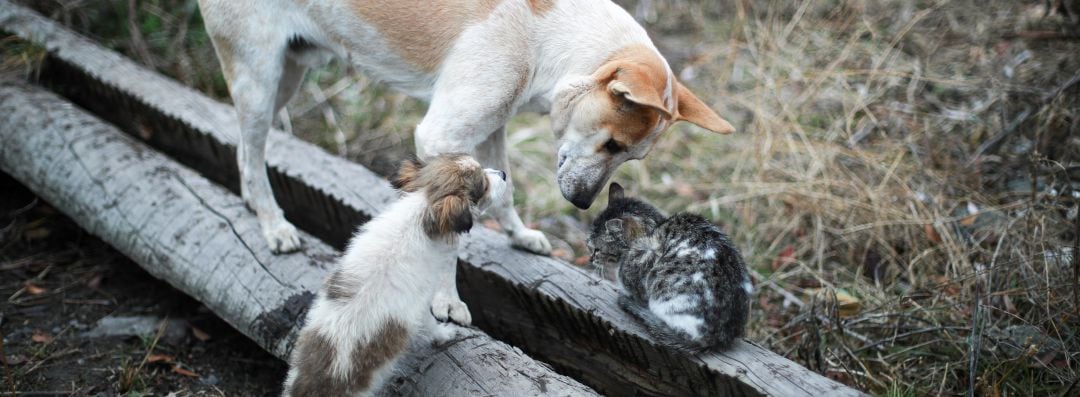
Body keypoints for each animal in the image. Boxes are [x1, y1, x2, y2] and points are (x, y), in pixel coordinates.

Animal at [196, 0, 734, 323]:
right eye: (612, 145)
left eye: (628, 155)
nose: (583, 205)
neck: (547, 35)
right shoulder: (440, 137)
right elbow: (450, 236)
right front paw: (445, 299)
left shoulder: (493, 126)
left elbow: (506, 191)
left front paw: (518, 236)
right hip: (260, 80)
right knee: (251, 153)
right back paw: (273, 225)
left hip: (286, 78)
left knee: (244, 150)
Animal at [285, 154, 507, 397]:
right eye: (483, 185)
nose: (504, 174)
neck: (421, 208)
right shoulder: (421, 305)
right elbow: (430, 325)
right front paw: (445, 334)